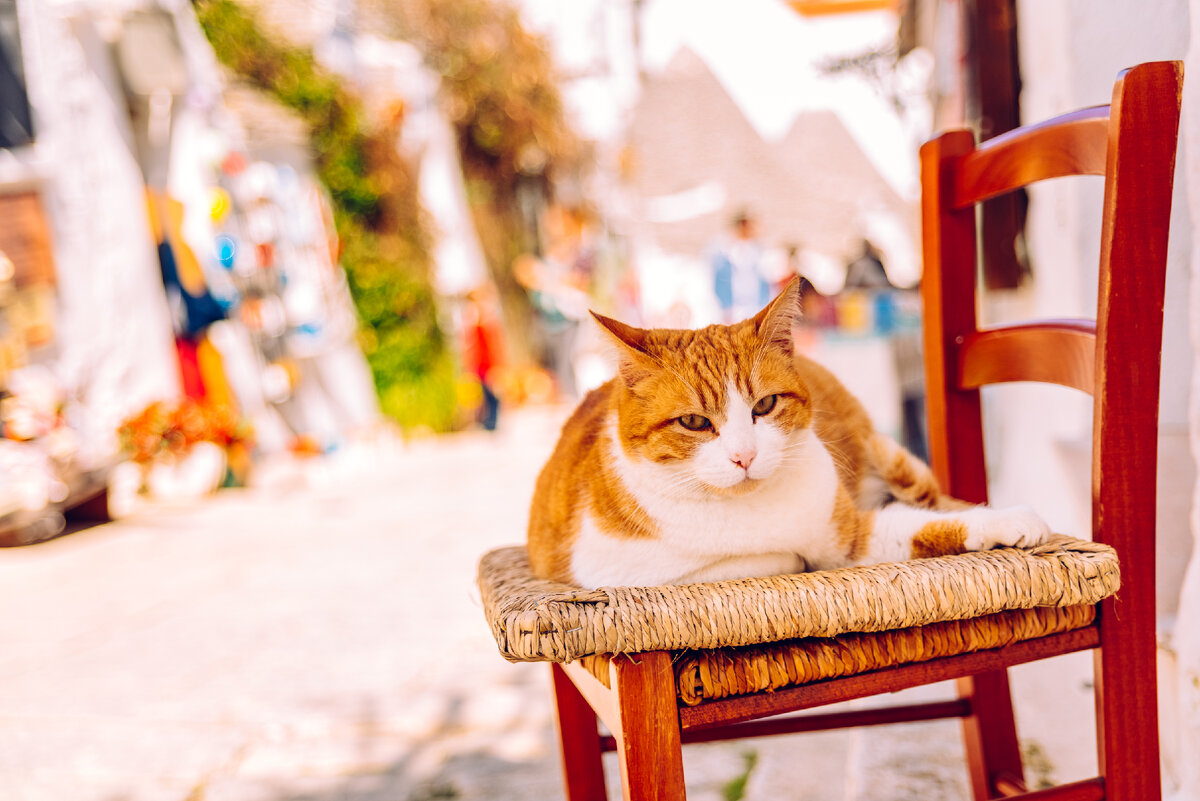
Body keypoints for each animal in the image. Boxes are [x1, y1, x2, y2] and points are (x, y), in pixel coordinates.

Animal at [528, 276, 1051, 587]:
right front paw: (785, 557)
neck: (750, 509)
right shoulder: (609, 573)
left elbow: (928, 525)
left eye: (764, 405)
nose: (744, 456)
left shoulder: (847, 538)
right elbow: (747, 562)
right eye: (694, 422)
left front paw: (1008, 521)